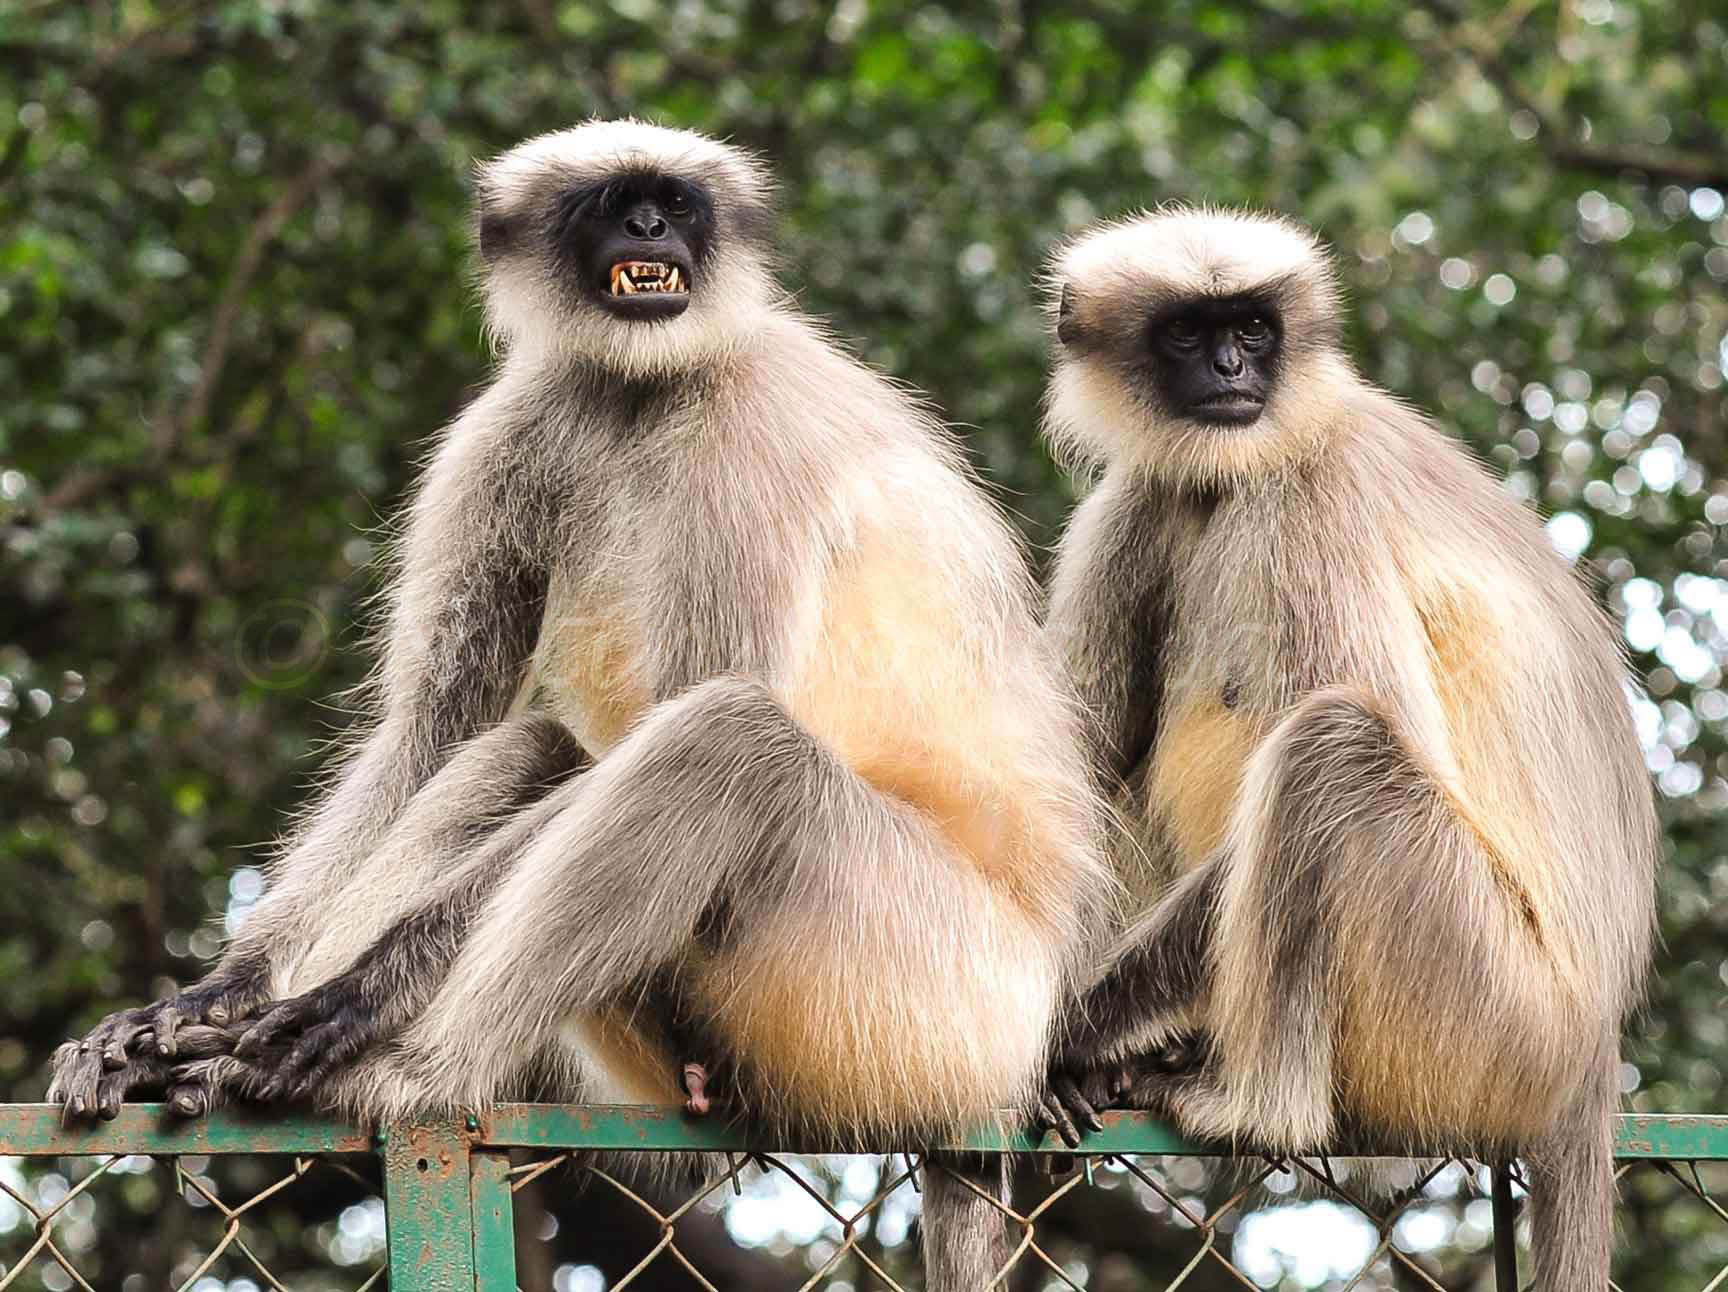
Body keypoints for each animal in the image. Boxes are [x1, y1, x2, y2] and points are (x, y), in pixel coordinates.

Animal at [54, 118, 1112, 1285]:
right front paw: (217, 994)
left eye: (678, 204)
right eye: (610, 205)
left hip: (932, 997)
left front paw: (348, 998)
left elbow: (697, 699)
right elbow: (435, 730)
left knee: (728, 737)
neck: (645, 388)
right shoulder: (520, 418)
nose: (649, 228)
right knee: (529, 748)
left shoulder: (747, 432)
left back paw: (409, 1074)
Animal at [1022, 207, 1658, 1285]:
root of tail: (1587, 1060)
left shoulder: (1316, 497)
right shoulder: (1143, 493)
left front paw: (1064, 1032)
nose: (1233, 367)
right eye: (1188, 333)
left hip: (1496, 1009)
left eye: (1253, 326)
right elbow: (1081, 763)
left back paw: (1250, 1105)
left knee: (1332, 745)